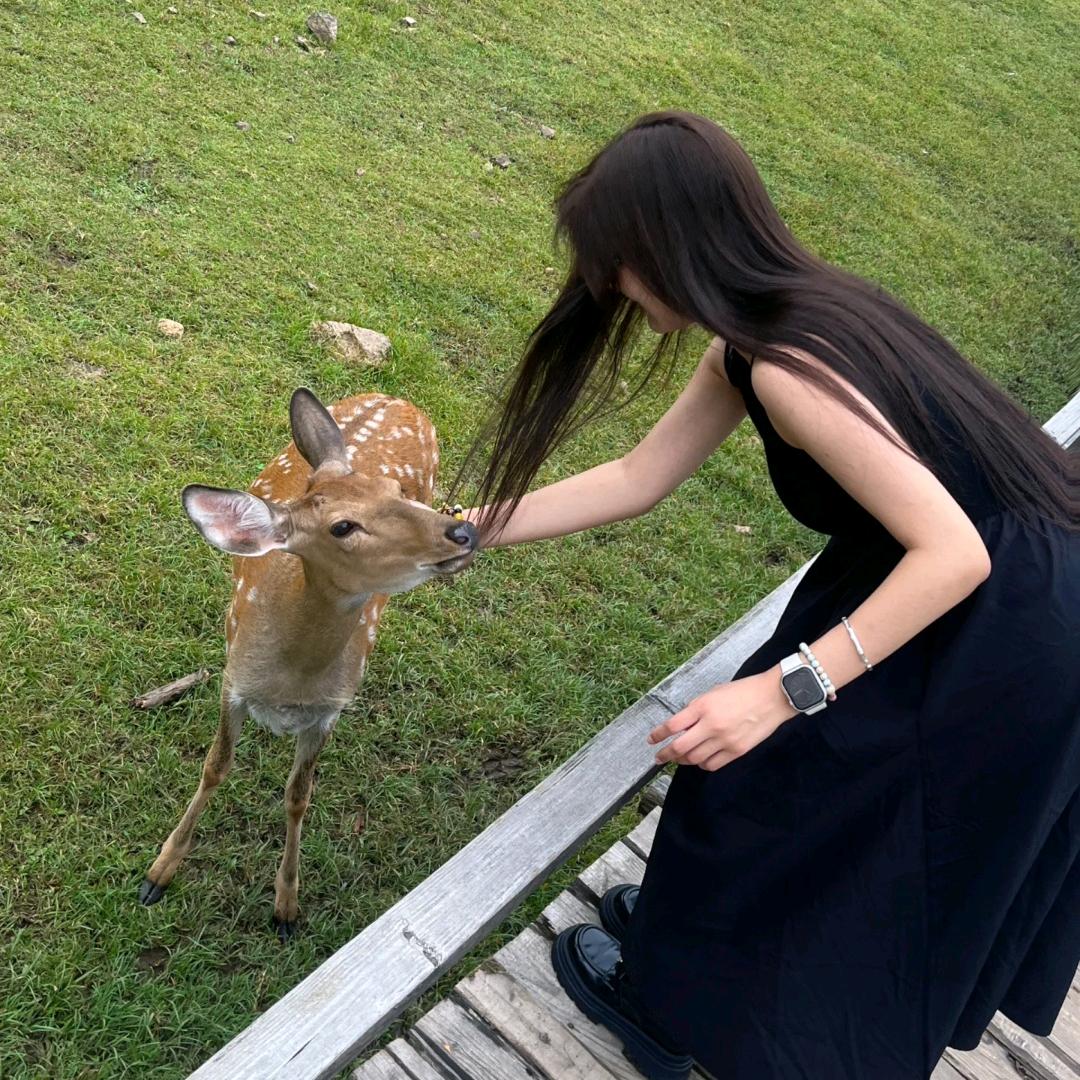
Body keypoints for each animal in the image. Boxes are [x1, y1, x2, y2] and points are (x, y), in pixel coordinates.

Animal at [138, 388, 478, 938]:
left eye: (395, 489)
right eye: (342, 527)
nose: (463, 531)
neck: (290, 680)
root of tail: (397, 397)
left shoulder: (329, 710)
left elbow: (299, 795)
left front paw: (286, 906)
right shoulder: (233, 682)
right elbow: (215, 766)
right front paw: (159, 873)